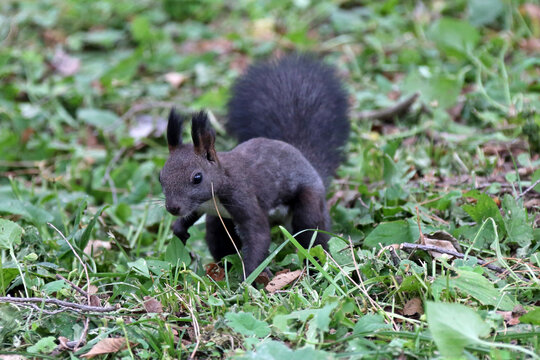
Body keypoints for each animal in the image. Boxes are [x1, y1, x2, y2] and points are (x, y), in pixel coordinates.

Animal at [159, 54, 350, 278]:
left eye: (197, 178)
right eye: (160, 177)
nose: (173, 208)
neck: (215, 193)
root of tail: (307, 162)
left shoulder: (243, 197)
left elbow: (257, 234)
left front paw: (248, 277)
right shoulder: (200, 206)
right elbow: (191, 216)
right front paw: (179, 229)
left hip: (309, 202)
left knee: (312, 232)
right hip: (220, 224)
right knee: (219, 239)